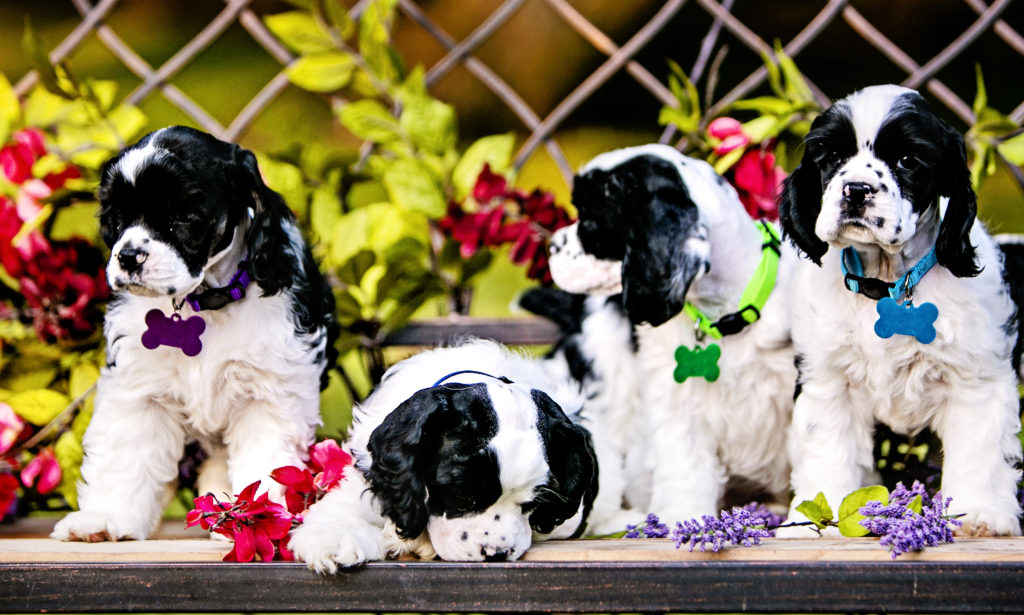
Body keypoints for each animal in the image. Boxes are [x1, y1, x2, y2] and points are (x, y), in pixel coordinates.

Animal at [52, 126, 335, 540]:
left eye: (183, 217)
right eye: (118, 217)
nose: (128, 256)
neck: (204, 304)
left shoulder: (269, 390)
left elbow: (264, 459)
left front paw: (259, 521)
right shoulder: (140, 387)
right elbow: (127, 455)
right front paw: (106, 518)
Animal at [548, 144, 794, 521]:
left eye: (590, 220)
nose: (550, 246)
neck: (724, 316)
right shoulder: (679, 405)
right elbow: (685, 469)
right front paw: (684, 520)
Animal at [778, 83, 1019, 536]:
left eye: (908, 161)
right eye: (830, 156)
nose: (856, 189)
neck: (887, 283)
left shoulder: (975, 379)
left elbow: (977, 449)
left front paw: (978, 514)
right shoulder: (828, 379)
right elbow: (827, 446)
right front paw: (820, 516)